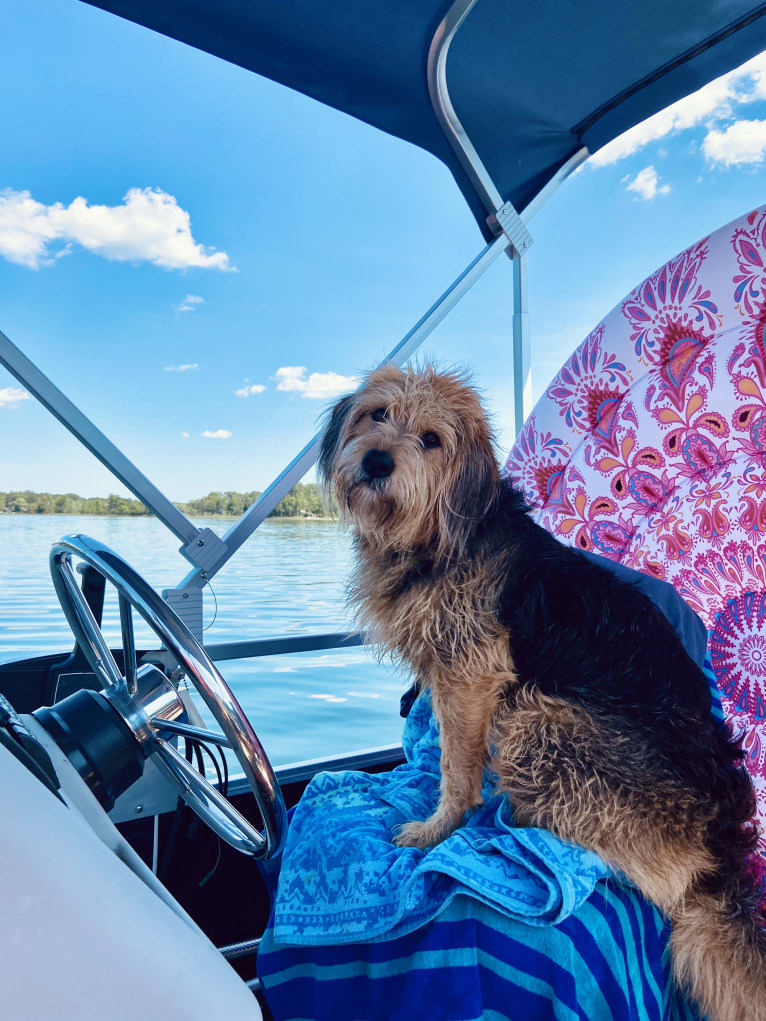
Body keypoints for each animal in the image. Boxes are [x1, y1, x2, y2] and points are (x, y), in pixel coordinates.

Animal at [320, 365, 766, 1021]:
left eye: (431, 440)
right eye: (377, 414)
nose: (377, 462)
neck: (443, 530)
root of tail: (723, 844)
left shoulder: (471, 675)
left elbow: (456, 768)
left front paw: (439, 830)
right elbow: (452, 756)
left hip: (540, 719)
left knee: (657, 882)